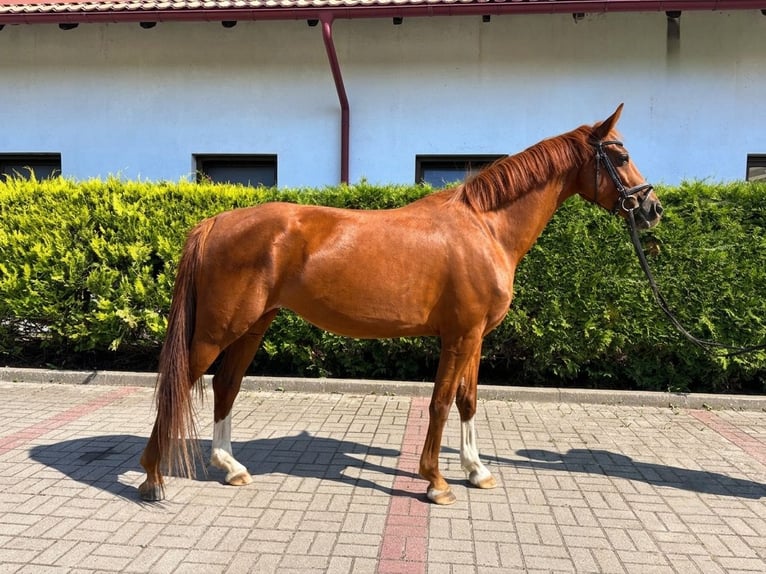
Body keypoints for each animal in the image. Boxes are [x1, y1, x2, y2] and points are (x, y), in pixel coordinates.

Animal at [138, 104, 662, 505]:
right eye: (620, 154)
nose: (652, 208)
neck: (485, 227)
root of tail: (215, 222)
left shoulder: (475, 337)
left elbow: (468, 401)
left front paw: (477, 470)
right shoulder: (458, 337)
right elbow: (441, 403)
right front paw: (435, 481)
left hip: (252, 326)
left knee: (225, 386)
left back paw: (230, 466)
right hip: (216, 331)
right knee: (179, 386)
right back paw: (153, 478)